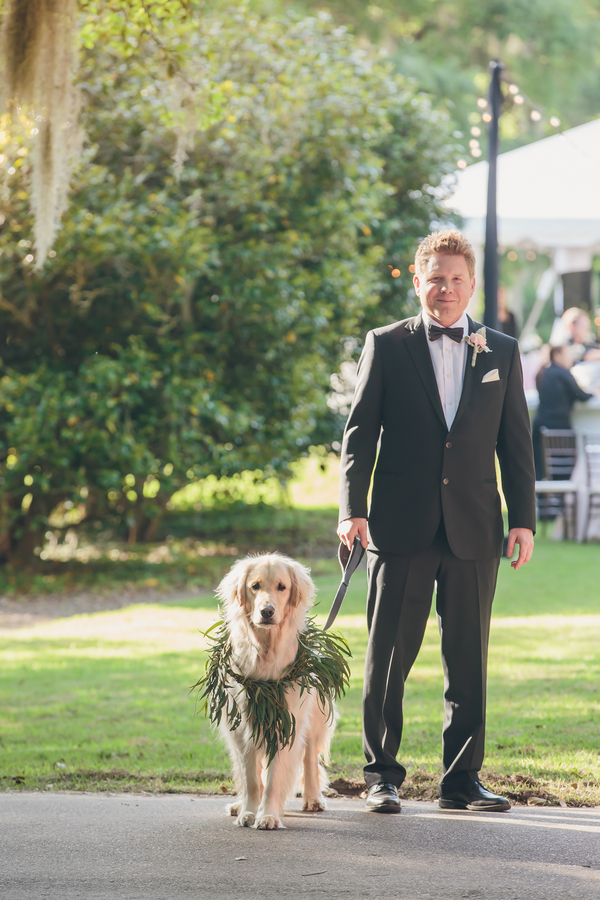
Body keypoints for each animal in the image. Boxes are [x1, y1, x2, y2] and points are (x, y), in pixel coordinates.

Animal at [217, 552, 338, 832]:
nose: (267, 611)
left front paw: (268, 815)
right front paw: (249, 812)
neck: (265, 650)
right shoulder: (243, 727)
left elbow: (274, 779)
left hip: (312, 719)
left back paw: (313, 798)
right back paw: (239, 804)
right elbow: (251, 779)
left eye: (282, 587)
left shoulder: (285, 723)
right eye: (255, 586)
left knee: (309, 759)